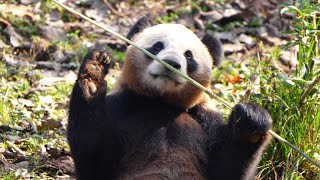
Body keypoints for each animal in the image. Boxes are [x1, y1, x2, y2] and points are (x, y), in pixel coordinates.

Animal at [67, 16, 272, 179]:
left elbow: (227, 169)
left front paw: (250, 120)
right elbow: (94, 157)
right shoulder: (123, 107)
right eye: (158, 46)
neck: (162, 102)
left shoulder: (205, 120)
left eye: (189, 55)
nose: (171, 63)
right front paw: (93, 75)